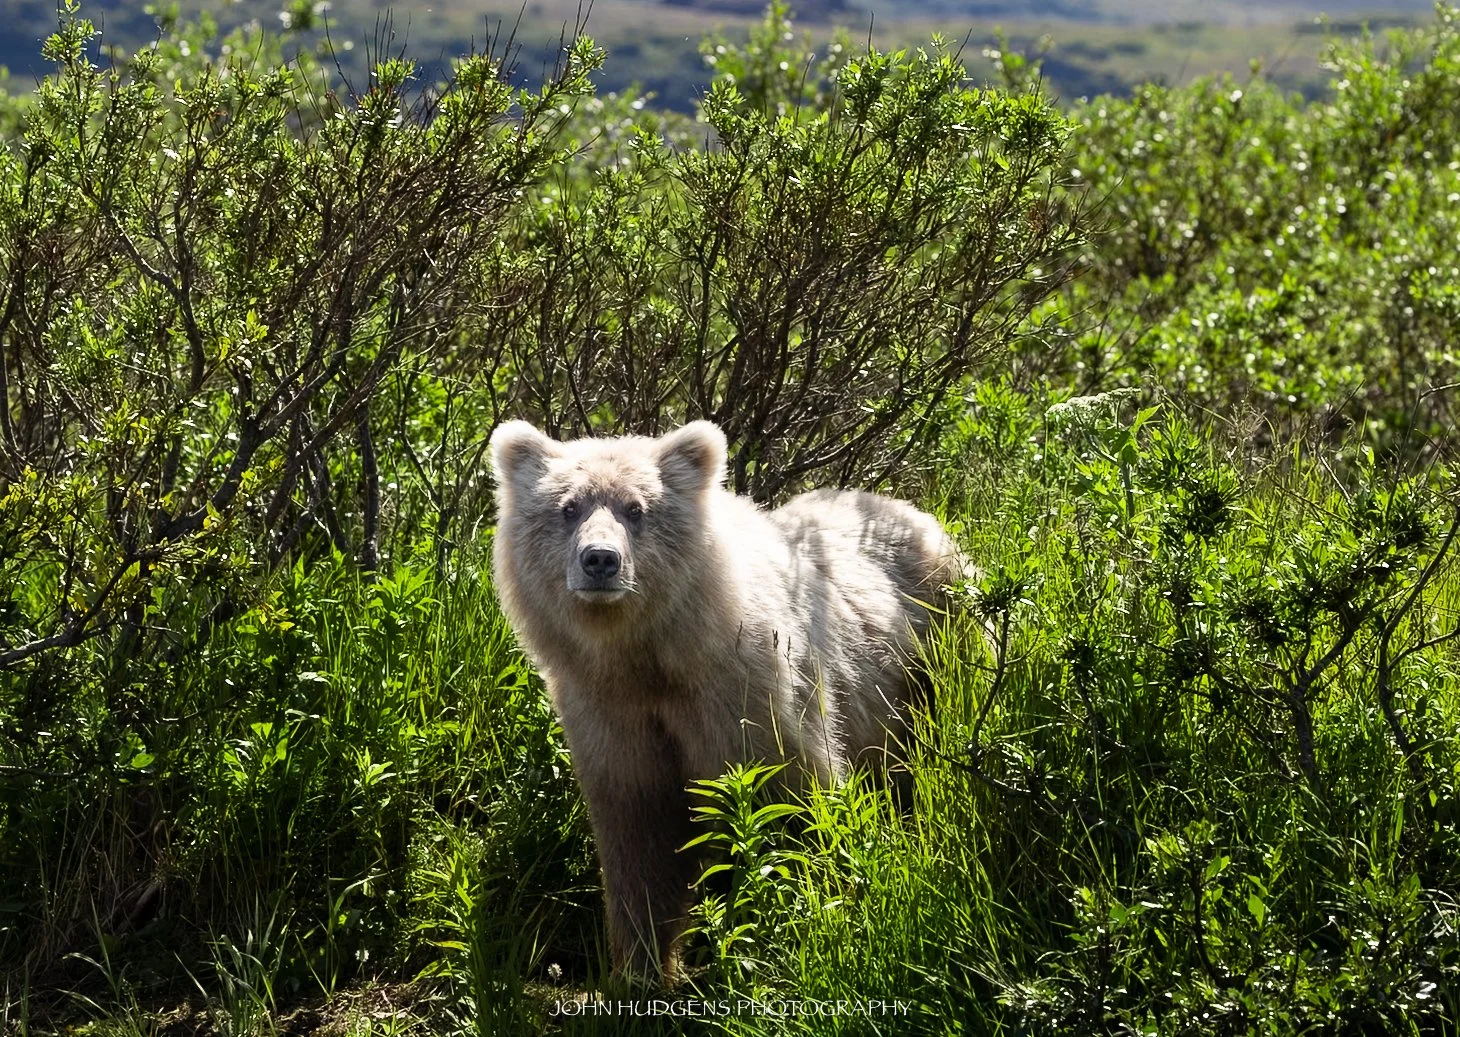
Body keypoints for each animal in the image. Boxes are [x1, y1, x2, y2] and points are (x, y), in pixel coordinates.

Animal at [487, 420, 964, 982]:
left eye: (636, 508)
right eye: (568, 506)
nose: (600, 560)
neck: (651, 659)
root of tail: (909, 509)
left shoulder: (748, 697)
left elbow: (797, 801)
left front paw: (809, 920)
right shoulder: (610, 716)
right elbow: (639, 843)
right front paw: (640, 968)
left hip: (938, 647)